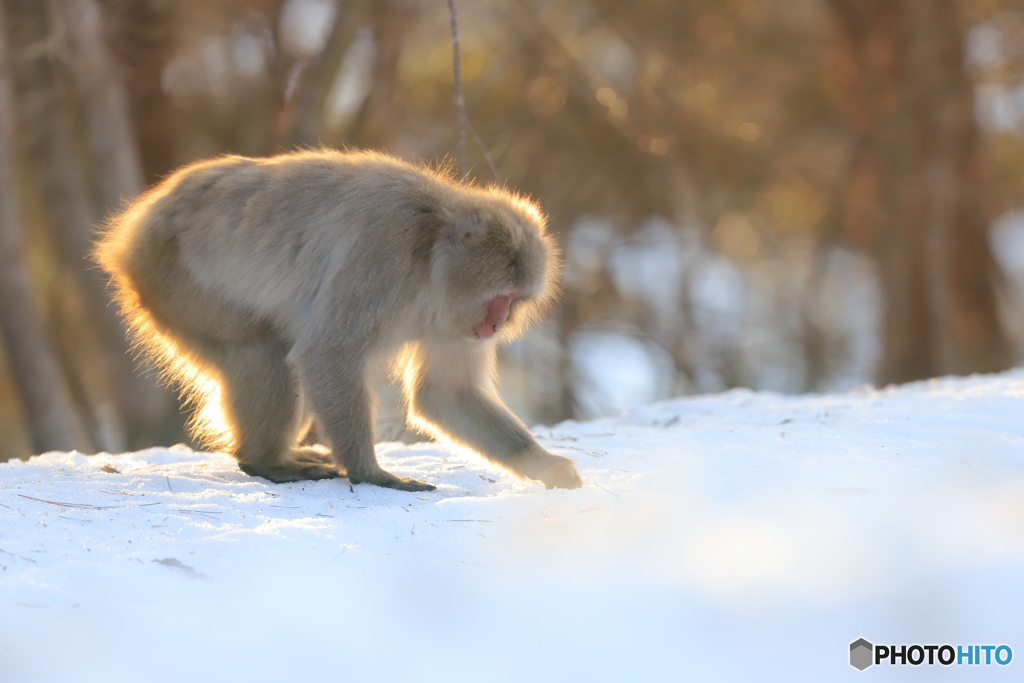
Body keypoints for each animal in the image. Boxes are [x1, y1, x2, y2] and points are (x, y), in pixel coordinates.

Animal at [96, 148, 585, 491]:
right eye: (500, 297)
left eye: (515, 301)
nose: (496, 327)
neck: (429, 254)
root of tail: (135, 227)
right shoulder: (382, 251)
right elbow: (328, 353)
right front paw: (369, 472)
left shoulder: (453, 318)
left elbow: (446, 393)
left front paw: (544, 465)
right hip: (173, 279)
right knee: (262, 352)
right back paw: (266, 461)